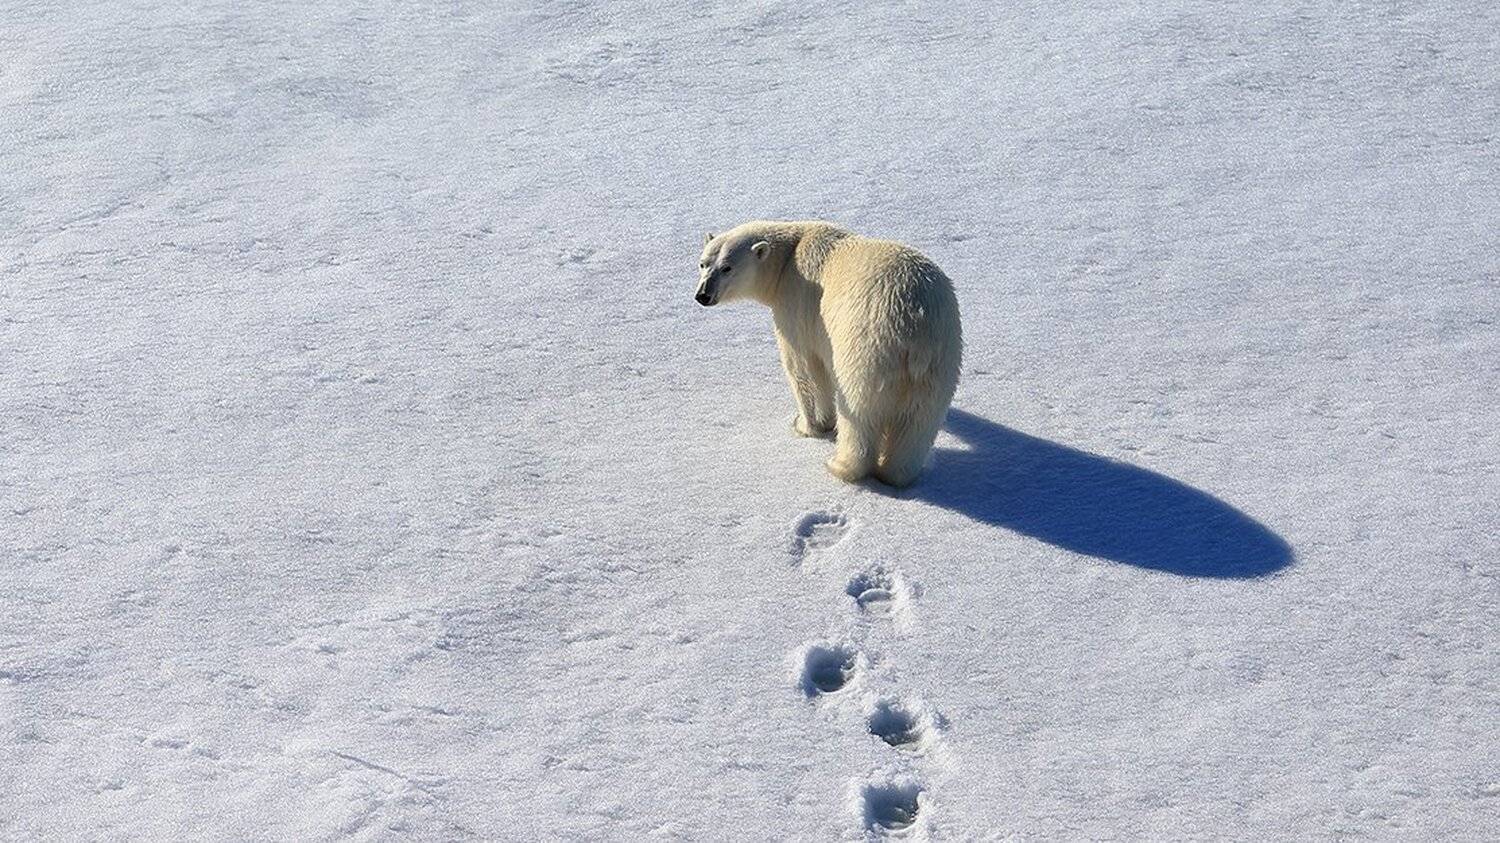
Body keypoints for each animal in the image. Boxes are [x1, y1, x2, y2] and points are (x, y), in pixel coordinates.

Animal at [695, 220, 962, 487]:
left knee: (858, 413)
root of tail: (916, 325)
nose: (702, 295)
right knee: (919, 421)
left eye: (727, 268)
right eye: (703, 263)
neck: (789, 255)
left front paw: (807, 425)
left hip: (867, 351)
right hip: (942, 359)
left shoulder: (797, 302)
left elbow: (803, 368)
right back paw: (894, 473)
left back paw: (840, 465)